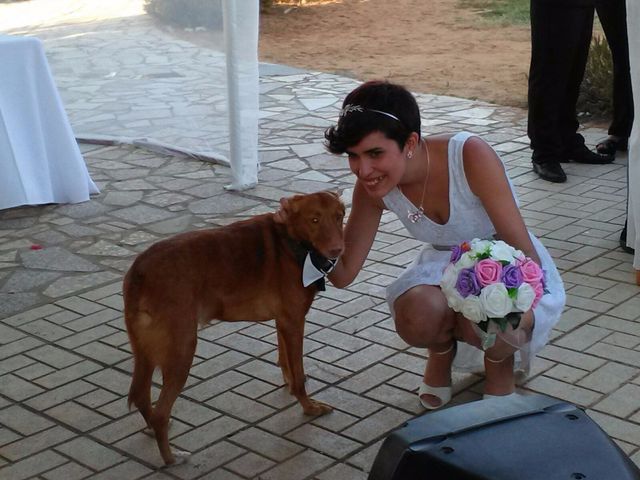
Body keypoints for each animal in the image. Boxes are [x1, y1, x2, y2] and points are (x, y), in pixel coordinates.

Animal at [124, 191, 344, 464]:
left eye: (340, 216)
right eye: (314, 219)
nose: (337, 249)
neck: (293, 243)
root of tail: (139, 271)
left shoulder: (283, 321)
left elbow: (286, 364)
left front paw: (289, 385)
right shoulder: (294, 322)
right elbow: (300, 375)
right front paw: (309, 407)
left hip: (146, 351)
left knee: (141, 396)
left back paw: (154, 433)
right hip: (181, 350)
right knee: (160, 412)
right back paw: (171, 458)